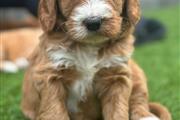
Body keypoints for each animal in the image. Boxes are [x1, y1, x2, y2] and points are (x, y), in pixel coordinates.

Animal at [20, 0, 171, 120]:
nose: (93, 22)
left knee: (139, 99)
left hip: (137, 73)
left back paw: (146, 117)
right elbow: (54, 110)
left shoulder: (117, 76)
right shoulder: (50, 75)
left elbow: (118, 110)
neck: (89, 45)